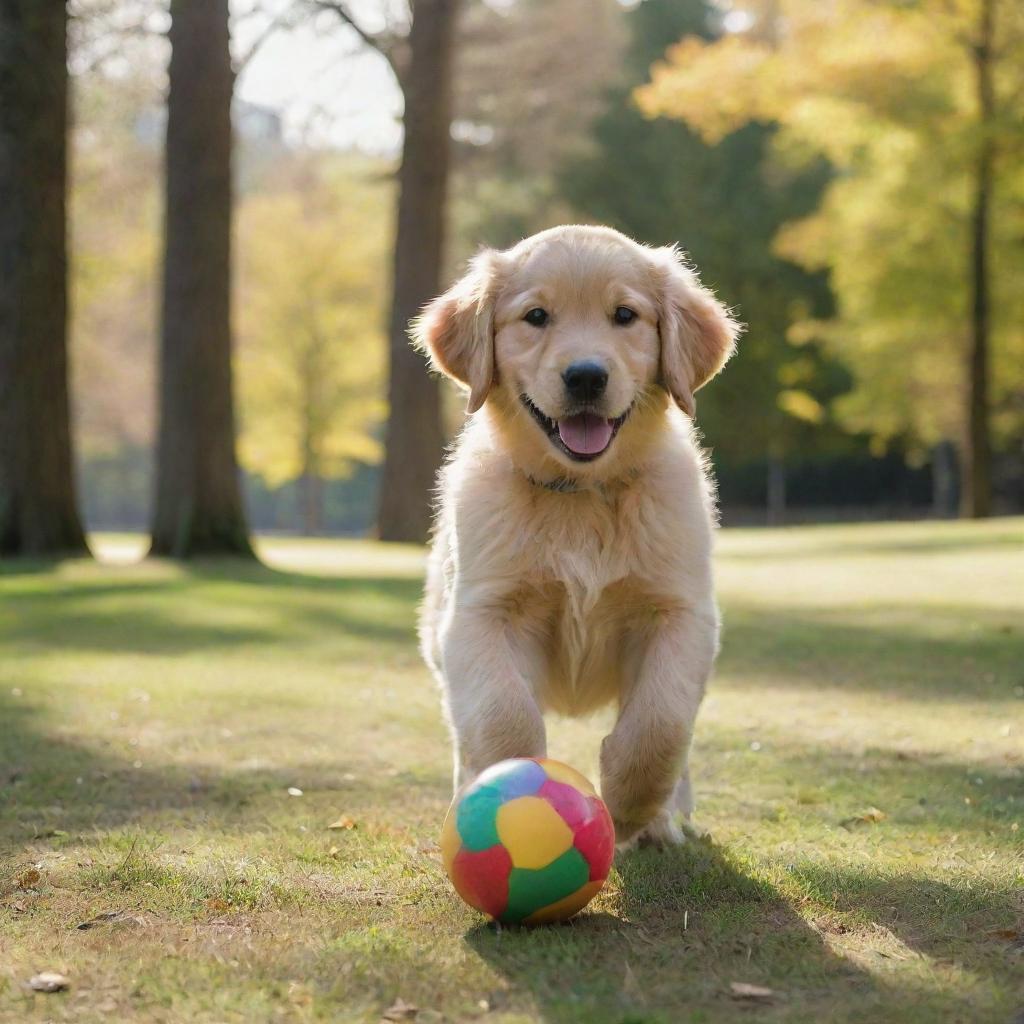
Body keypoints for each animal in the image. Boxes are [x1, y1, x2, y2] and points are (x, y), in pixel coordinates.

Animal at [413, 226, 737, 847]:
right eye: (536, 316)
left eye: (625, 315)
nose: (586, 376)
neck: (582, 495)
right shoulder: (479, 614)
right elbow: (503, 716)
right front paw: (509, 797)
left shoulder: (680, 613)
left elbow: (662, 721)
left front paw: (632, 808)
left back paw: (666, 818)